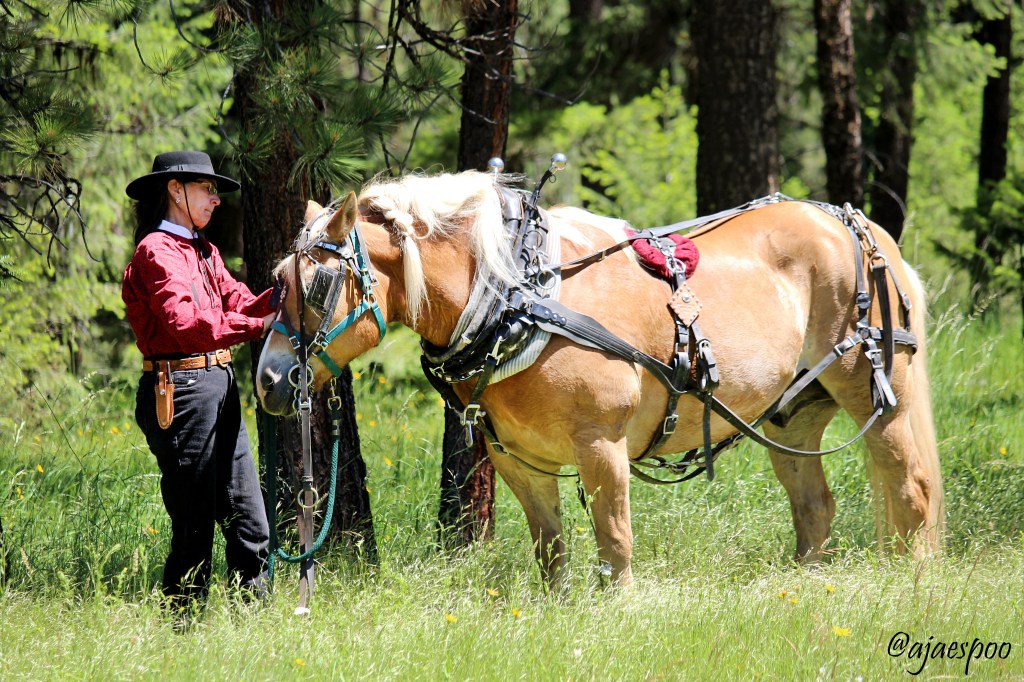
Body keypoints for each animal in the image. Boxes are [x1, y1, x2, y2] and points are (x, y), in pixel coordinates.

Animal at [256, 171, 944, 588]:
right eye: (275, 282)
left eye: (318, 285)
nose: (268, 380)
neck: (519, 296)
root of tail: (858, 224)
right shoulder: (518, 459)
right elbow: (551, 551)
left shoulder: (601, 446)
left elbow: (614, 544)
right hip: (793, 413)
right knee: (815, 507)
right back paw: (803, 585)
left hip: (875, 390)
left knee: (911, 491)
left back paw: (911, 584)